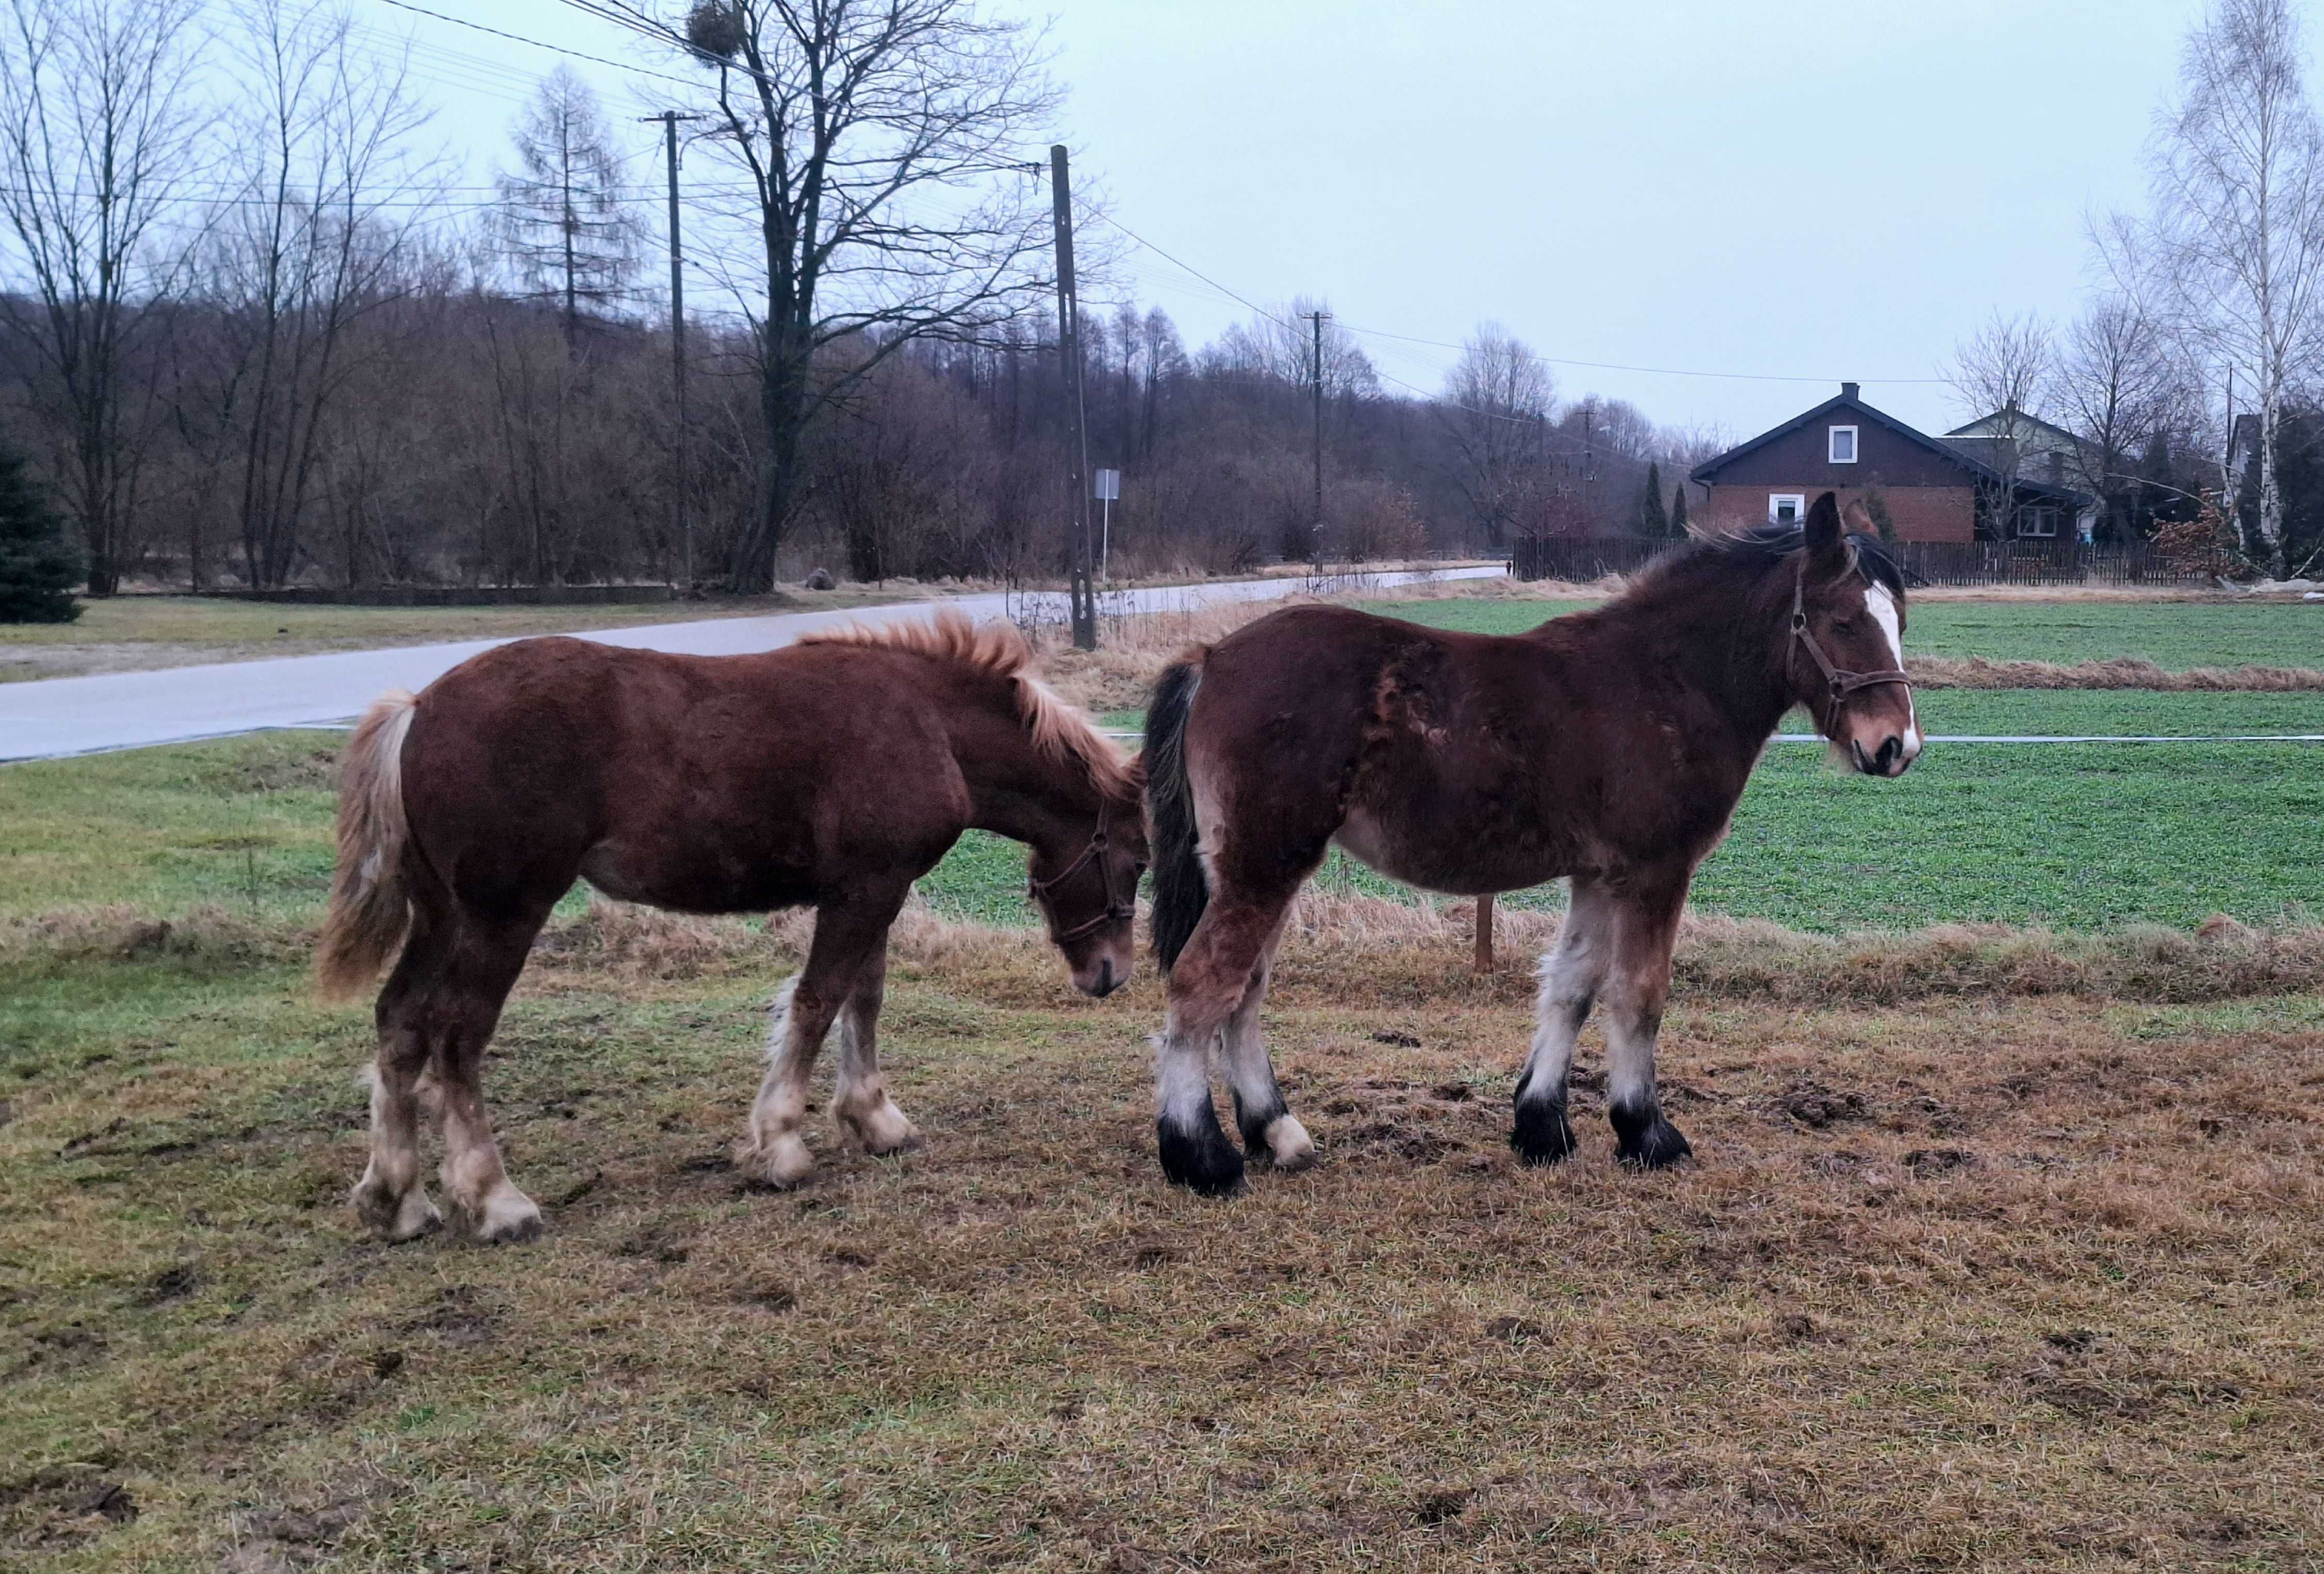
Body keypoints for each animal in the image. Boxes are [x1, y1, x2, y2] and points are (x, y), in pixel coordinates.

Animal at [313, 613, 1148, 1236]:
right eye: (1137, 859)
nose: (1109, 974)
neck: (928, 723)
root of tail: (419, 709)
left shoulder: (876, 888)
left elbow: (863, 998)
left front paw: (876, 1122)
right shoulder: (863, 890)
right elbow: (819, 1001)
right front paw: (781, 1145)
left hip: (442, 913)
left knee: (400, 1022)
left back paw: (396, 1197)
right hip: (502, 914)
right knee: (457, 1034)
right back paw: (493, 1198)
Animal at [1134, 490, 1915, 1190]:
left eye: (1900, 618)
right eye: (1843, 619)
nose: (1894, 747)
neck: (1665, 682)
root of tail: (1211, 658)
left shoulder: (1598, 874)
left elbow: (1571, 987)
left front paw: (1541, 1126)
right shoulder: (1656, 871)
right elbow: (1639, 993)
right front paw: (1647, 1133)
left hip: (1260, 869)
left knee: (1244, 991)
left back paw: (1277, 1133)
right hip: (1263, 867)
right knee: (1203, 983)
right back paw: (1199, 1156)